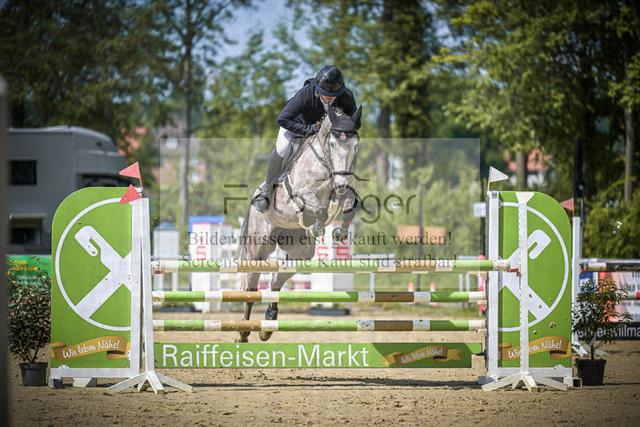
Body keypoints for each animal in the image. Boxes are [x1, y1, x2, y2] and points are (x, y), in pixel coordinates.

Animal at [234, 104, 362, 342]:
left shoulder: (346, 190)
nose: (340, 184)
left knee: (277, 279)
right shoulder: (302, 193)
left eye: (355, 146)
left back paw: (268, 325)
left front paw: (339, 232)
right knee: (251, 286)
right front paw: (317, 226)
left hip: (299, 252)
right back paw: (244, 332)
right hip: (258, 249)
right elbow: (320, 209)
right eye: (332, 144)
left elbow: (348, 209)